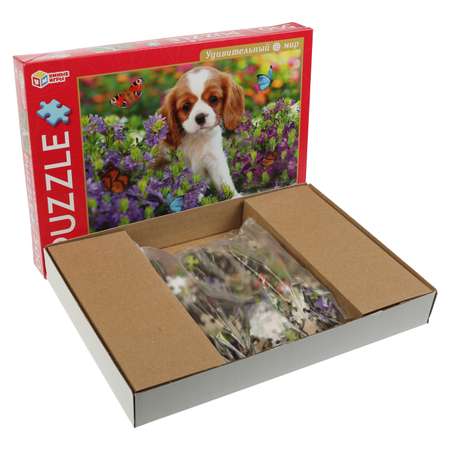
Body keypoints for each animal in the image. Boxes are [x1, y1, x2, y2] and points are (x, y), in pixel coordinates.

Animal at [160, 66, 244, 197]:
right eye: (186, 106)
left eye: (214, 99)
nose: (200, 117)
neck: (197, 137)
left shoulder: (214, 159)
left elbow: (224, 181)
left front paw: (234, 196)